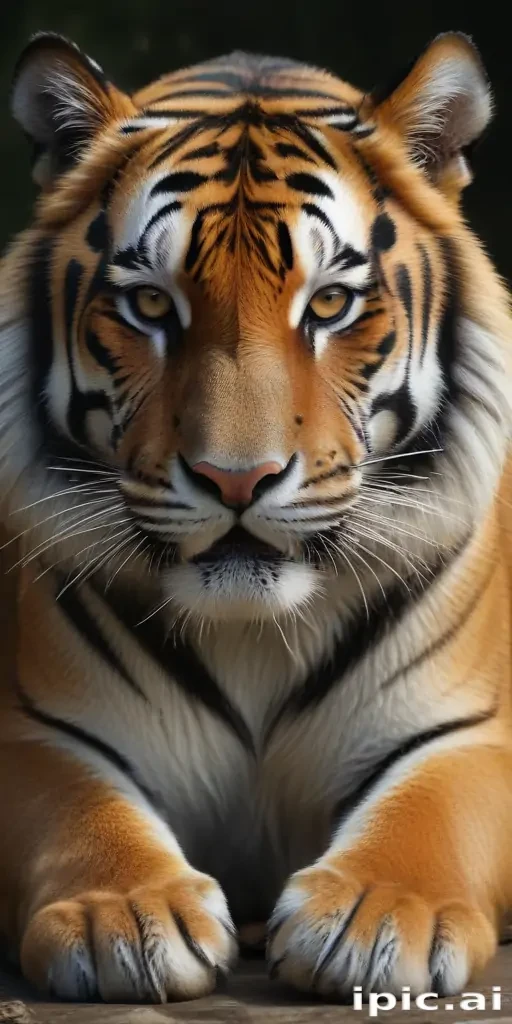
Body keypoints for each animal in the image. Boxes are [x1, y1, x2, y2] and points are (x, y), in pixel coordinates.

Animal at [0, 27, 510, 1005]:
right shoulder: (34, 727)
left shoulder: (474, 730)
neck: (255, 634)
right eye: (150, 304)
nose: (236, 481)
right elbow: (80, 805)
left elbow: (427, 806)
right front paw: (124, 915)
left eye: (330, 303)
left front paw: (377, 915)